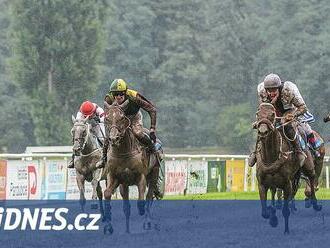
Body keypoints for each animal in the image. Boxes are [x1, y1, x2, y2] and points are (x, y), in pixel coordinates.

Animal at [102, 101, 161, 234]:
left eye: (121, 118)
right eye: (107, 118)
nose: (113, 139)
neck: (123, 152)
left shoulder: (141, 176)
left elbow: (141, 201)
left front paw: (141, 211)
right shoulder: (115, 176)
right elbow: (107, 194)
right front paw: (108, 226)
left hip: (154, 172)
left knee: (149, 196)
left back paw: (147, 222)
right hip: (124, 185)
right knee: (126, 205)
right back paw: (127, 228)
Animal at [254, 102, 320, 234]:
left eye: (272, 114)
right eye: (258, 113)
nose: (262, 131)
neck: (272, 157)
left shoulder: (286, 183)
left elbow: (285, 209)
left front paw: (286, 229)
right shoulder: (262, 184)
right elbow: (265, 212)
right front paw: (273, 217)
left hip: (308, 165)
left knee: (311, 178)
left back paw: (314, 203)